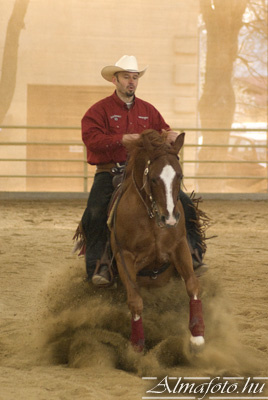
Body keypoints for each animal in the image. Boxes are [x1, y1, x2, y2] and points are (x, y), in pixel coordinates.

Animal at [110, 130, 204, 352]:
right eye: (152, 178)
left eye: (180, 175)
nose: (169, 217)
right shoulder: (124, 256)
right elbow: (135, 301)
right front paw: (137, 345)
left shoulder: (180, 247)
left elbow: (192, 285)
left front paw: (197, 335)